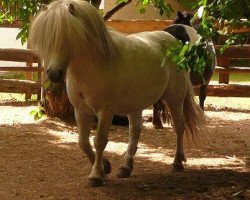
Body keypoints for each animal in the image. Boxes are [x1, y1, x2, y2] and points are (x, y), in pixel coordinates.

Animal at [29, 0, 208, 188]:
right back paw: (126, 167)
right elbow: (83, 142)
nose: (54, 74)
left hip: (174, 99)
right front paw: (105, 167)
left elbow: (99, 141)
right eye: (45, 39)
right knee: (135, 132)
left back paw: (177, 163)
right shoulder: (81, 111)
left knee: (179, 127)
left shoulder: (105, 111)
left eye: (68, 36)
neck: (94, 66)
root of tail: (174, 42)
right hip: (135, 104)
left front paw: (96, 175)